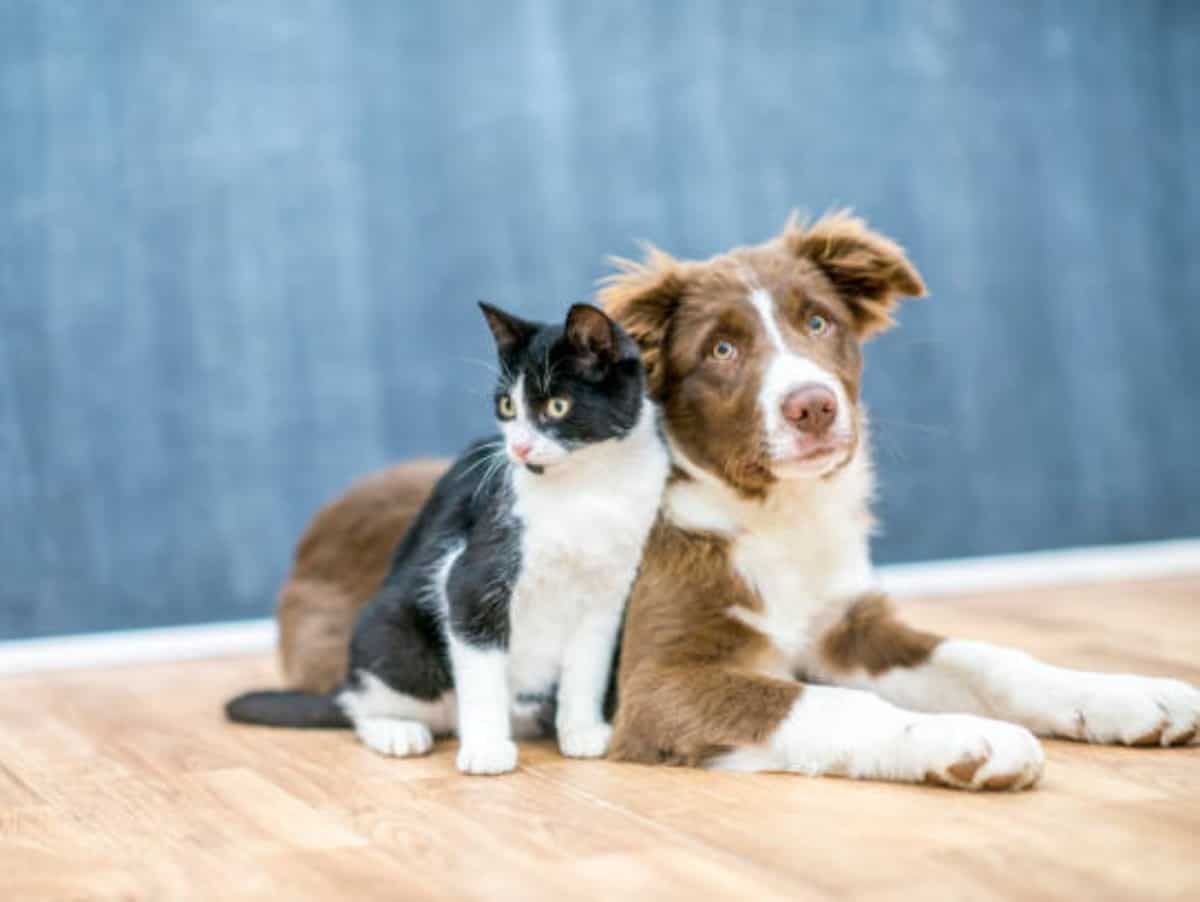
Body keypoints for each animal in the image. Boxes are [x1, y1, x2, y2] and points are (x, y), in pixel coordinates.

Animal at [228, 301, 672, 777]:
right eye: (507, 405)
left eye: (557, 405)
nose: (518, 449)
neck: (588, 487)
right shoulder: (470, 578)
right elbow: (481, 670)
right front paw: (487, 751)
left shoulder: (608, 593)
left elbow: (588, 666)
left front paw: (583, 731)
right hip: (394, 637)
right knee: (359, 703)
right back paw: (397, 730)